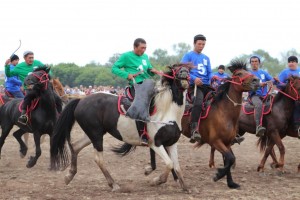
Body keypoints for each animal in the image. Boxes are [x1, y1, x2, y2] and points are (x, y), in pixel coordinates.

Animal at [49, 64, 190, 192]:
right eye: (175, 69)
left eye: (188, 68)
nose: (184, 73)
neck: (166, 113)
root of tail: (81, 101)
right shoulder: (156, 143)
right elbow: (169, 164)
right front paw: (157, 180)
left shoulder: (171, 143)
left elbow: (176, 166)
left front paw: (184, 186)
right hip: (96, 135)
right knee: (98, 159)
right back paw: (114, 184)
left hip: (93, 134)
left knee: (76, 146)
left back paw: (69, 175)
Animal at [147, 59, 258, 189]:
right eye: (239, 73)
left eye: (248, 72)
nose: (256, 80)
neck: (224, 112)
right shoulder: (215, 141)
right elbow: (231, 159)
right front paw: (217, 175)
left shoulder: (227, 142)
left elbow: (229, 161)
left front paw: (231, 183)